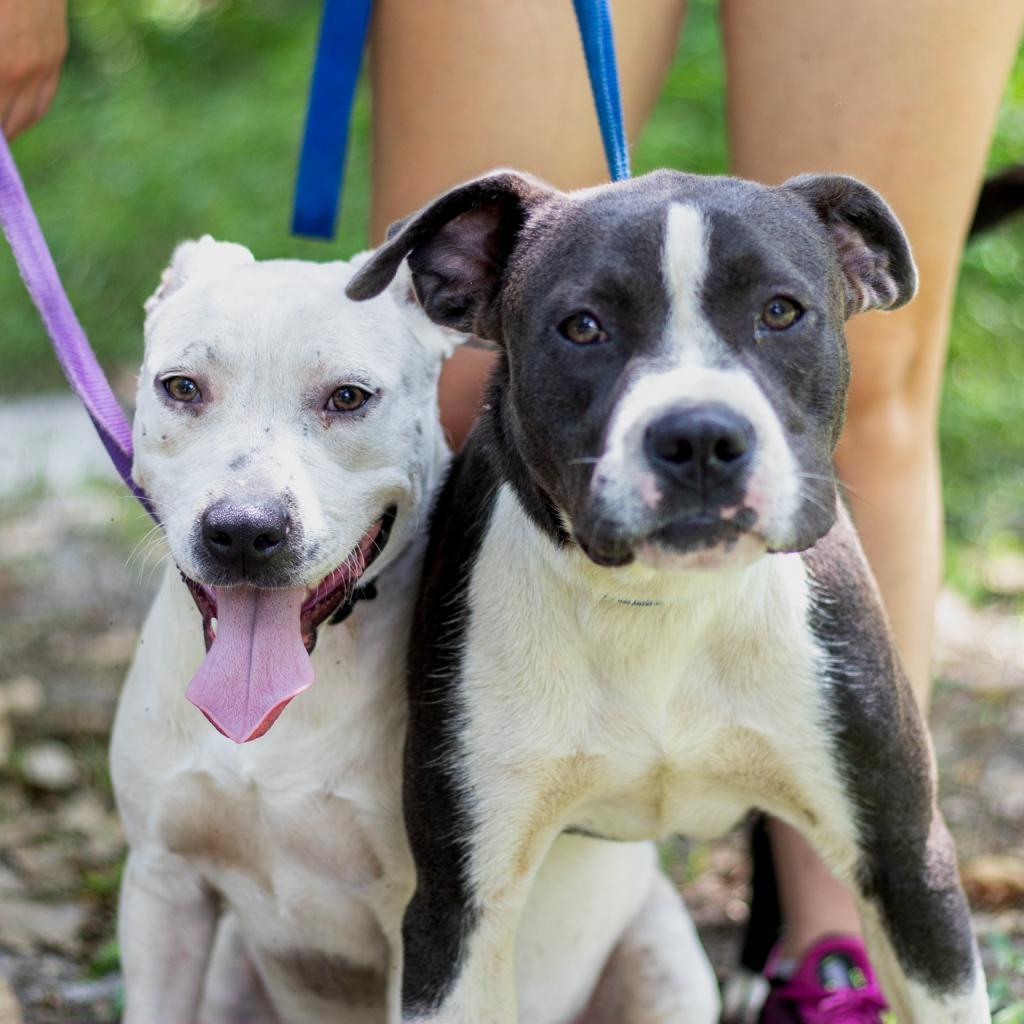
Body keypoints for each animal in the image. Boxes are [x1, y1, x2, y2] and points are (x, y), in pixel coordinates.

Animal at [110, 239, 720, 1024]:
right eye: (182, 387)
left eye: (348, 397)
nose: (245, 532)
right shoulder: (165, 887)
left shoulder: (425, 925)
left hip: (664, 957)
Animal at [352, 169, 991, 1024]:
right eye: (582, 326)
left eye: (780, 312)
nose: (699, 436)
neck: (664, 603)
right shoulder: (459, 907)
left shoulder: (908, 866)